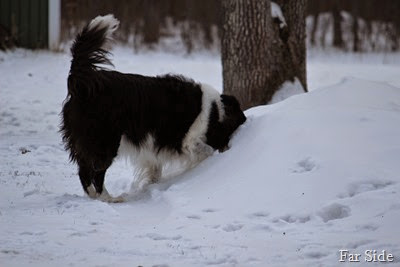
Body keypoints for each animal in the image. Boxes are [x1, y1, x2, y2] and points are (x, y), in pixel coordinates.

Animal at [60, 14, 245, 203]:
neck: (215, 111)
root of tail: (83, 84)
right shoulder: (187, 140)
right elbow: (205, 151)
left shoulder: (154, 142)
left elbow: (155, 166)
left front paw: (152, 184)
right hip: (106, 141)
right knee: (97, 171)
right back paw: (109, 198)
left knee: (83, 170)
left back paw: (93, 196)